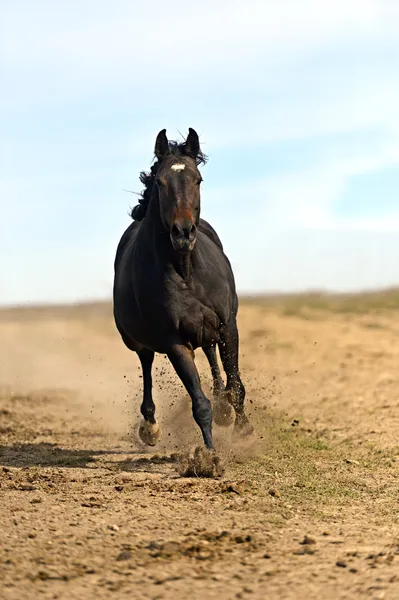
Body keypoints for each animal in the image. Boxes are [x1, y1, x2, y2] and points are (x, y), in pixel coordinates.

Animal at [112, 127, 253, 460]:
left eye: (197, 179)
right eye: (160, 182)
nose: (183, 233)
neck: (187, 271)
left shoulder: (228, 325)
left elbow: (235, 385)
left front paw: (242, 429)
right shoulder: (174, 342)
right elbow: (199, 404)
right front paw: (209, 458)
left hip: (211, 330)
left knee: (212, 355)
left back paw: (224, 409)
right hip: (137, 341)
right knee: (147, 364)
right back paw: (150, 427)